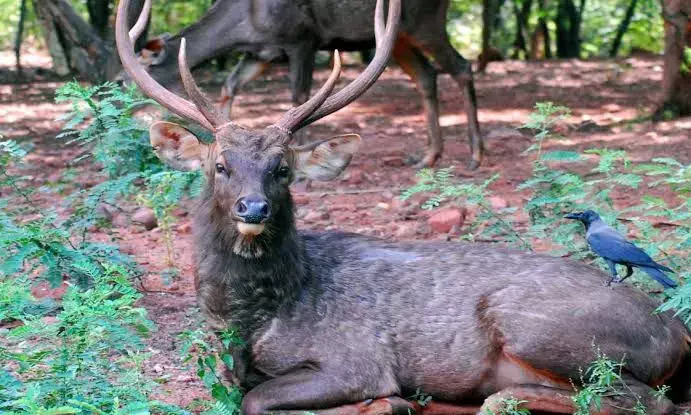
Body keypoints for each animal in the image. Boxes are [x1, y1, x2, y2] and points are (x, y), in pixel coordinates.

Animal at [115, 0, 484, 170]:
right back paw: (429, 155)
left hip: (426, 23)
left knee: (462, 67)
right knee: (427, 75)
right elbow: (229, 86)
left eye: (122, 81)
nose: (118, 119)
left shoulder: (302, 40)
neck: (246, 23)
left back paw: (475, 154)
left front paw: (305, 148)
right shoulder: (260, 53)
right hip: (402, 39)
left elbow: (299, 94)